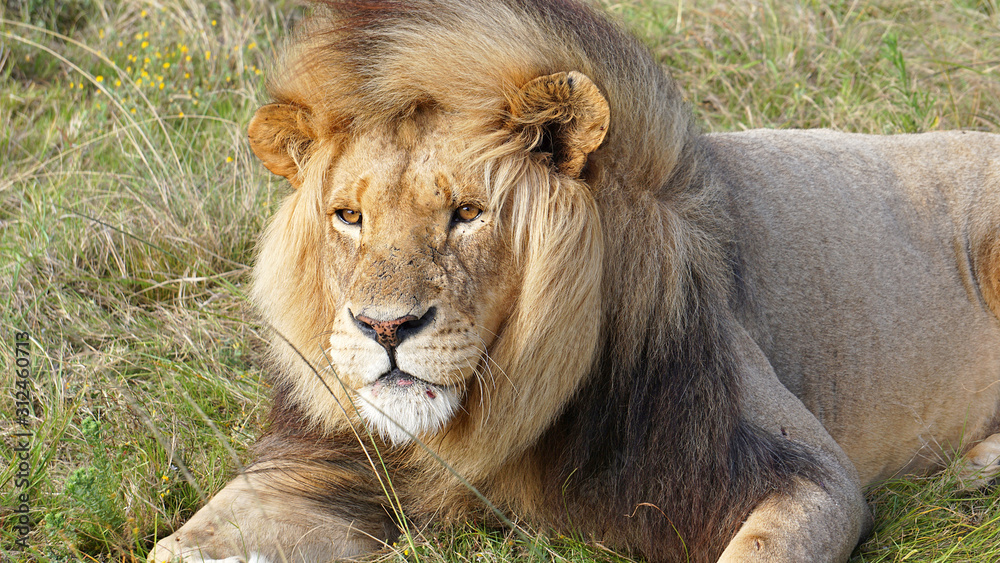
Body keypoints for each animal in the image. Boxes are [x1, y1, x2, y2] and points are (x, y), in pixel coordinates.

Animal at [146, 1, 1000, 563]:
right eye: (348, 216)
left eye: (468, 213)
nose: (385, 328)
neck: (500, 415)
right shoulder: (333, 469)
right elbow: (176, 545)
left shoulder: (803, 470)